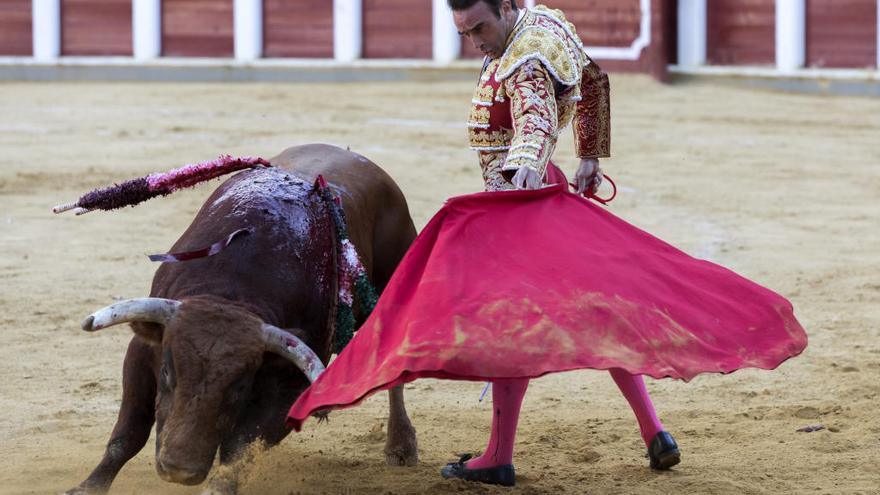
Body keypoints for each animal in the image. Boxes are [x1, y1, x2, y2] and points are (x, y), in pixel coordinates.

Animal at [64, 144, 420, 495]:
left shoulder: (289, 387)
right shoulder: (143, 352)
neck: (232, 292)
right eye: (167, 371)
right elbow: (128, 434)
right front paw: (87, 487)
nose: (178, 470)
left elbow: (238, 452)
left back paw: (401, 446)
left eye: (239, 387)